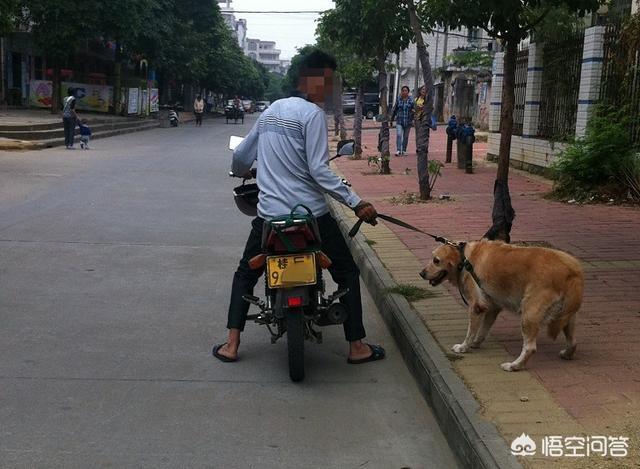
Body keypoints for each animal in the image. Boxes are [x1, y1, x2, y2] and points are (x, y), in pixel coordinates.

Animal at [420, 241, 584, 370]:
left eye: (436, 260)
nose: (421, 273)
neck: (464, 259)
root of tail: (572, 271)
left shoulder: (476, 306)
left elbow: (471, 332)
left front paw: (463, 347)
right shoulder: (491, 308)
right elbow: (482, 331)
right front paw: (475, 343)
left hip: (529, 314)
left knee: (530, 348)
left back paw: (514, 366)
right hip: (567, 316)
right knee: (573, 341)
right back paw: (567, 354)